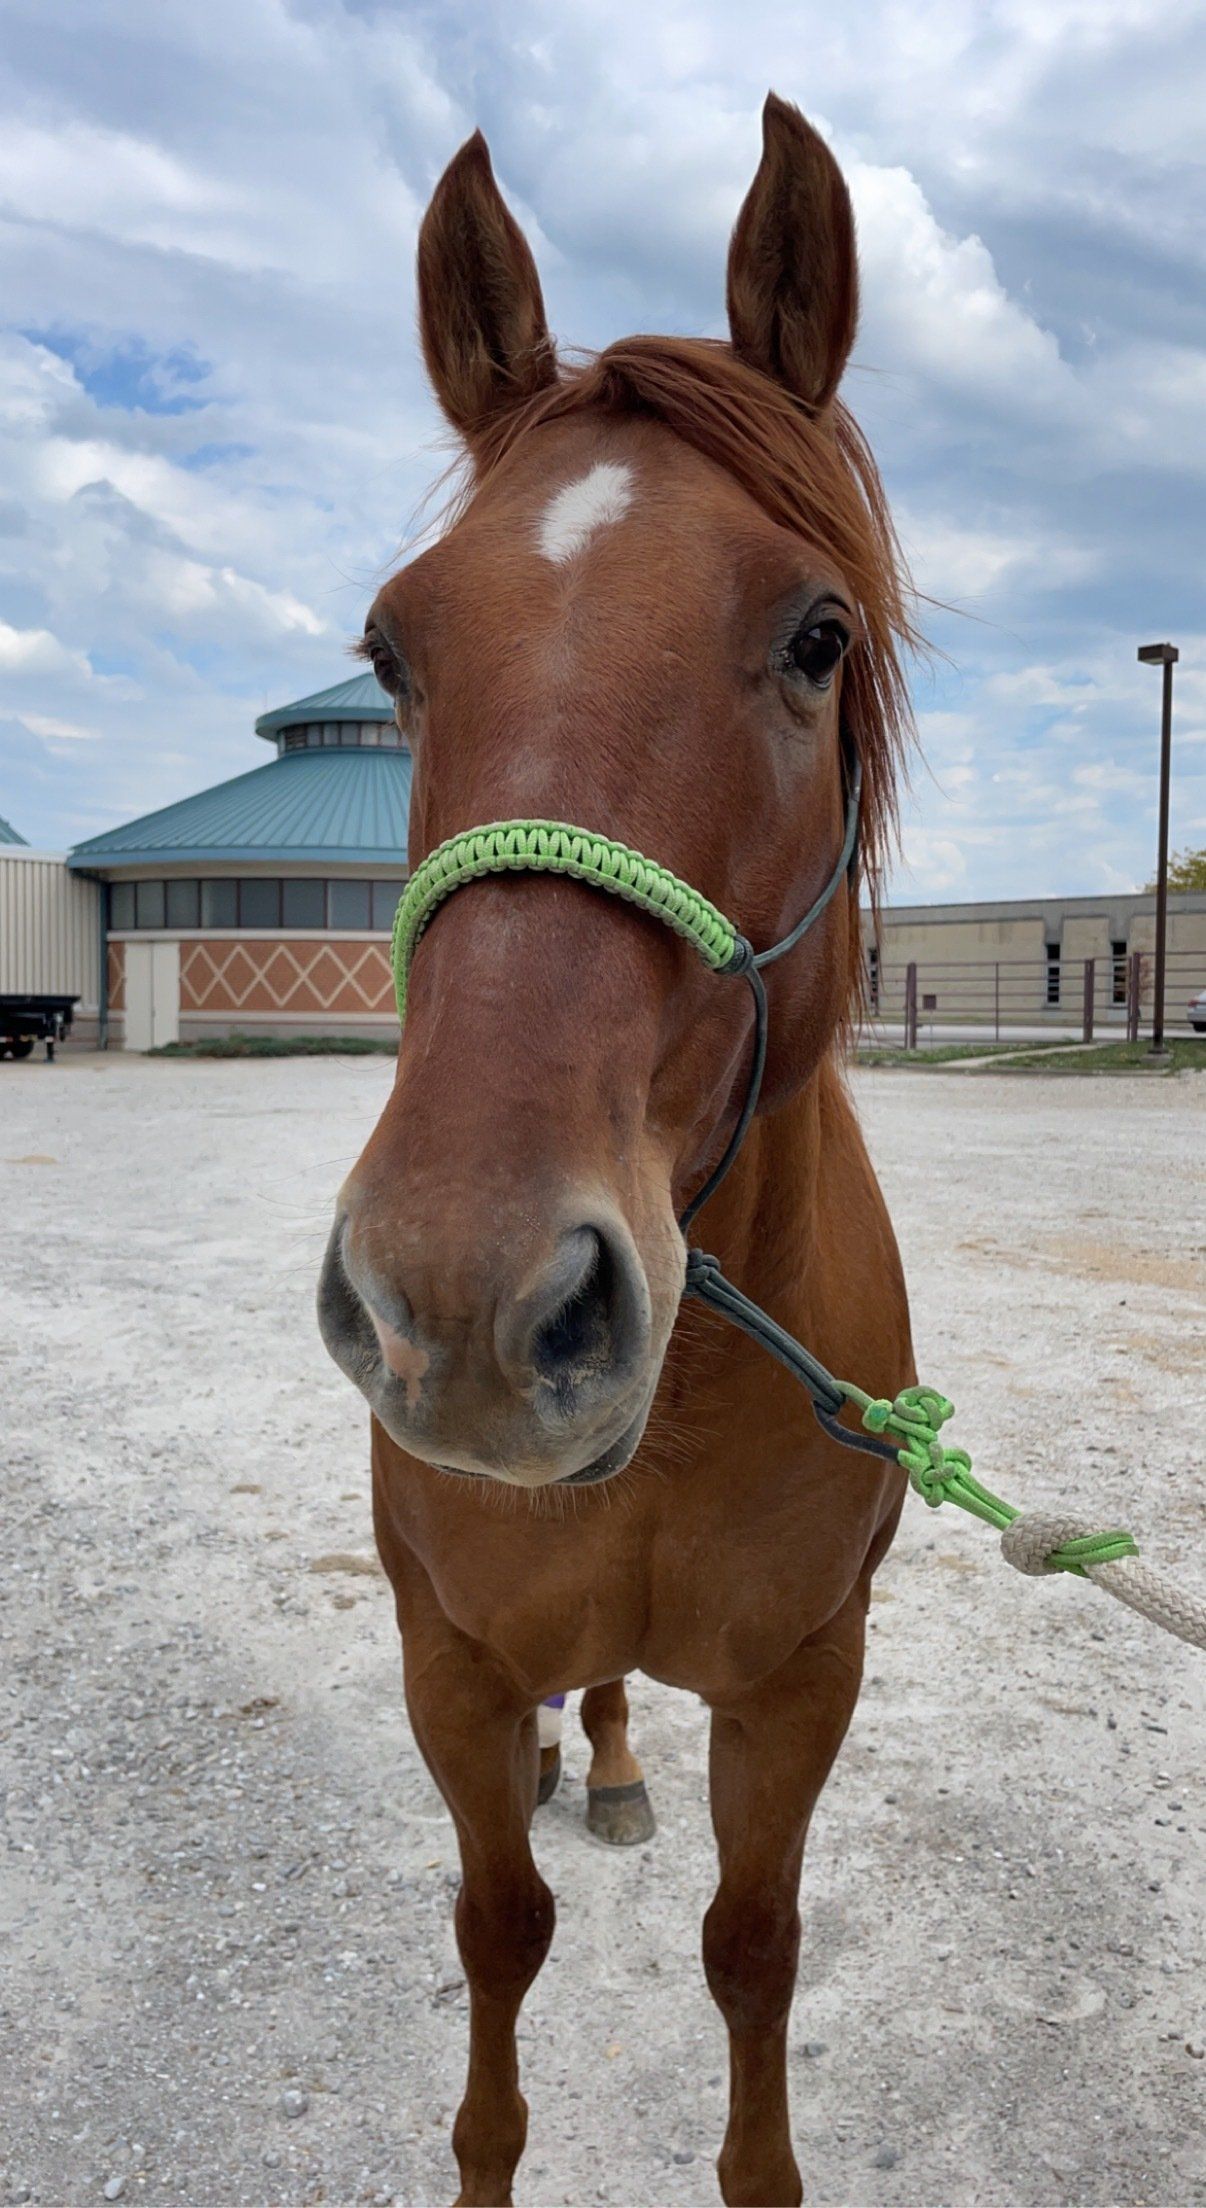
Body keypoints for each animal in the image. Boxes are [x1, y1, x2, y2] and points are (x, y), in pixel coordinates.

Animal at [318, 92, 917, 2208]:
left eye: (816, 634)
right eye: (390, 652)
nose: (469, 1297)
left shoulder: (804, 1677)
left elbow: (758, 1949)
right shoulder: (451, 1660)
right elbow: (497, 1932)